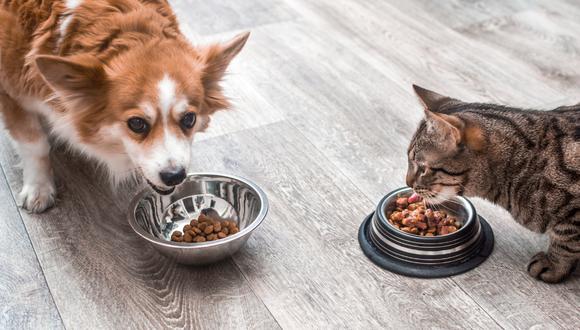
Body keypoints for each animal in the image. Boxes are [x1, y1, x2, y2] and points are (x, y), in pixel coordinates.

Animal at [0, 0, 249, 211]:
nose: (175, 176)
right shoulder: (11, 94)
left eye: (189, 119)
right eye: (137, 124)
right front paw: (39, 188)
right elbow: (35, 144)